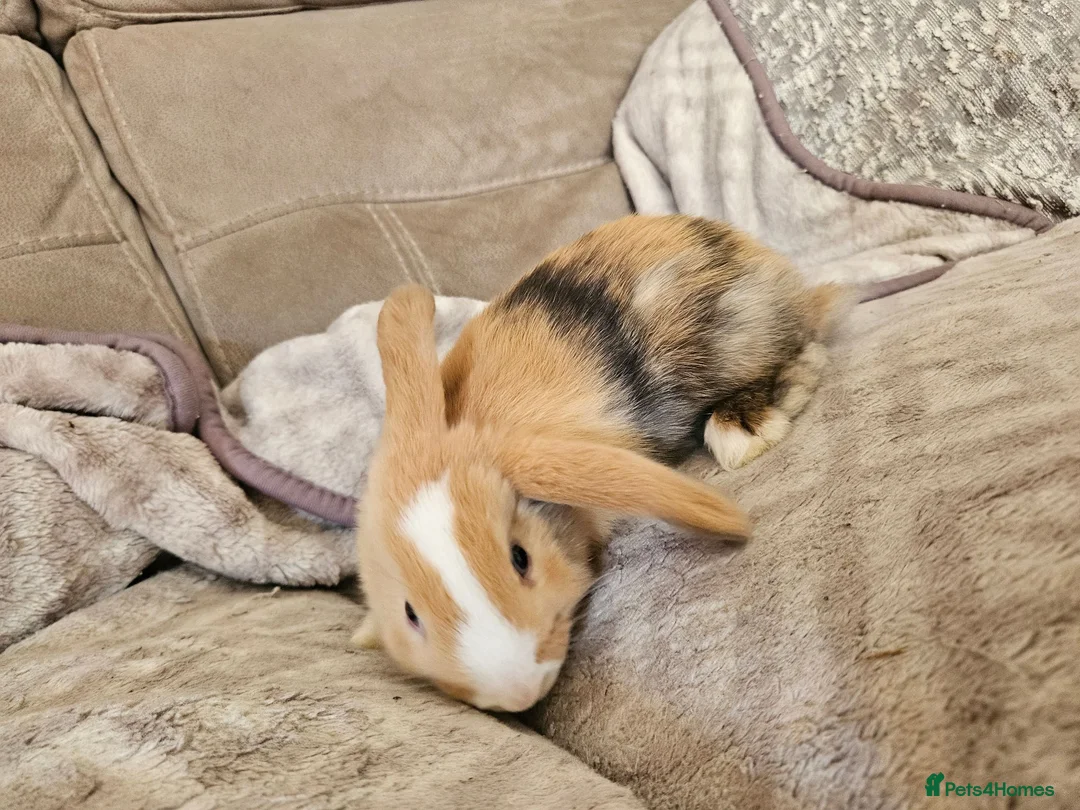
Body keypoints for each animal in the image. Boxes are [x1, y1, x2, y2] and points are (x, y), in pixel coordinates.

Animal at [353, 214, 850, 713]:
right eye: (410, 613)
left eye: (520, 557)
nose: (518, 693)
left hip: (735, 334)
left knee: (803, 347)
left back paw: (744, 432)